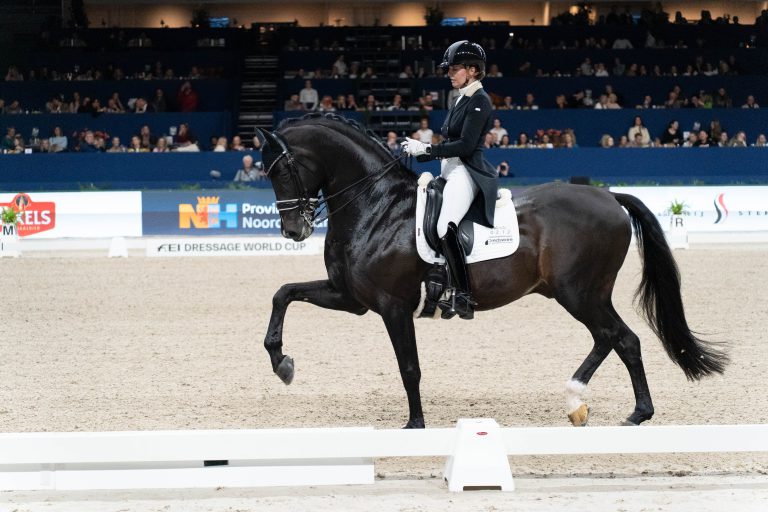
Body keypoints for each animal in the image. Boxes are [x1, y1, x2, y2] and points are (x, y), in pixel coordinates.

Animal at [256, 115, 728, 428]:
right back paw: (607, 407)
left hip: (578, 292)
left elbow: (409, 367)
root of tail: (610, 196)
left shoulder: (393, 306)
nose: (293, 230)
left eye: (283, 169)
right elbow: (283, 292)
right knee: (616, 339)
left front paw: (414, 425)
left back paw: (605, 405)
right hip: (580, 294)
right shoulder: (350, 297)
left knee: (619, 338)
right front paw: (282, 363)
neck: (376, 206)